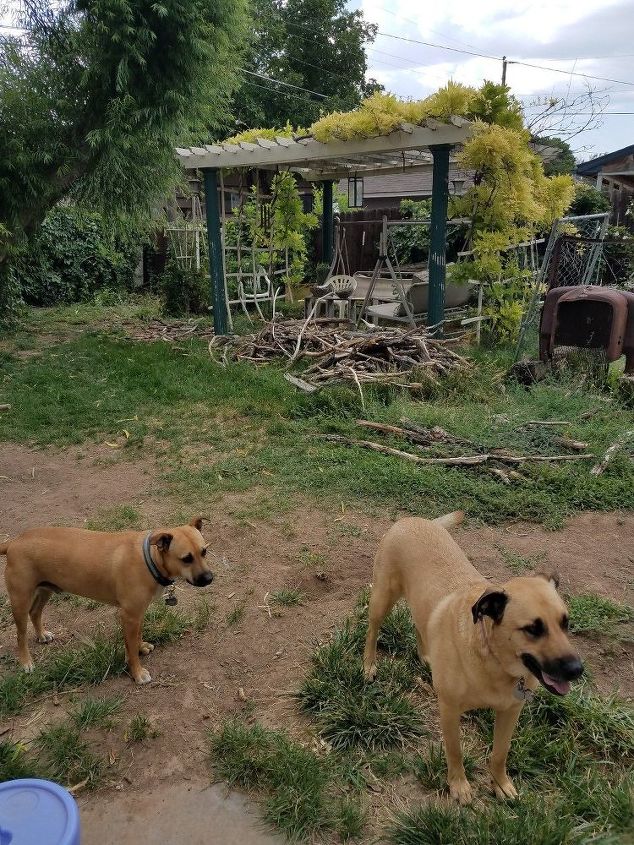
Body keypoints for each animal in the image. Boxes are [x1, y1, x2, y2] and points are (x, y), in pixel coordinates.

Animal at [0, 516, 214, 684]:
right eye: (186, 558)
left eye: (204, 551)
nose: (209, 578)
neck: (150, 560)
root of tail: (14, 542)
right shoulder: (129, 616)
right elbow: (130, 648)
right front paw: (137, 672)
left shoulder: (137, 614)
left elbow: (135, 638)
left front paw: (140, 647)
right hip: (20, 599)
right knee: (20, 635)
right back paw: (26, 662)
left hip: (44, 590)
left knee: (35, 612)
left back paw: (42, 635)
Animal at [362, 512, 580, 800]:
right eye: (533, 629)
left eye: (565, 622)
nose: (577, 669)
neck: (493, 661)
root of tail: (412, 519)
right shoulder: (449, 710)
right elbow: (455, 751)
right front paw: (459, 785)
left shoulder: (511, 711)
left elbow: (500, 753)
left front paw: (500, 783)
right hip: (382, 598)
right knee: (372, 629)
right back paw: (368, 665)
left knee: (420, 623)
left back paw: (426, 656)